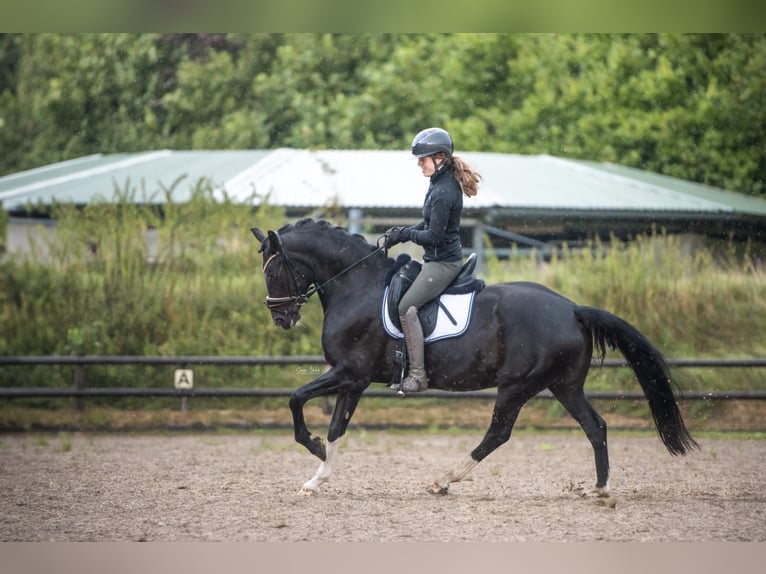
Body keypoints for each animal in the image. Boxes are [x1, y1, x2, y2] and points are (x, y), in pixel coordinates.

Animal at [254, 218, 704, 498]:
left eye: (273, 272)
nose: (281, 317)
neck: (356, 285)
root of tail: (573, 309)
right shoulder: (355, 380)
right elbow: (337, 428)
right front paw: (318, 476)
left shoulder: (349, 373)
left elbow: (296, 399)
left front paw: (312, 448)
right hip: (563, 385)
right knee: (595, 426)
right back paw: (600, 487)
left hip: (518, 385)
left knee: (498, 434)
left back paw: (444, 480)